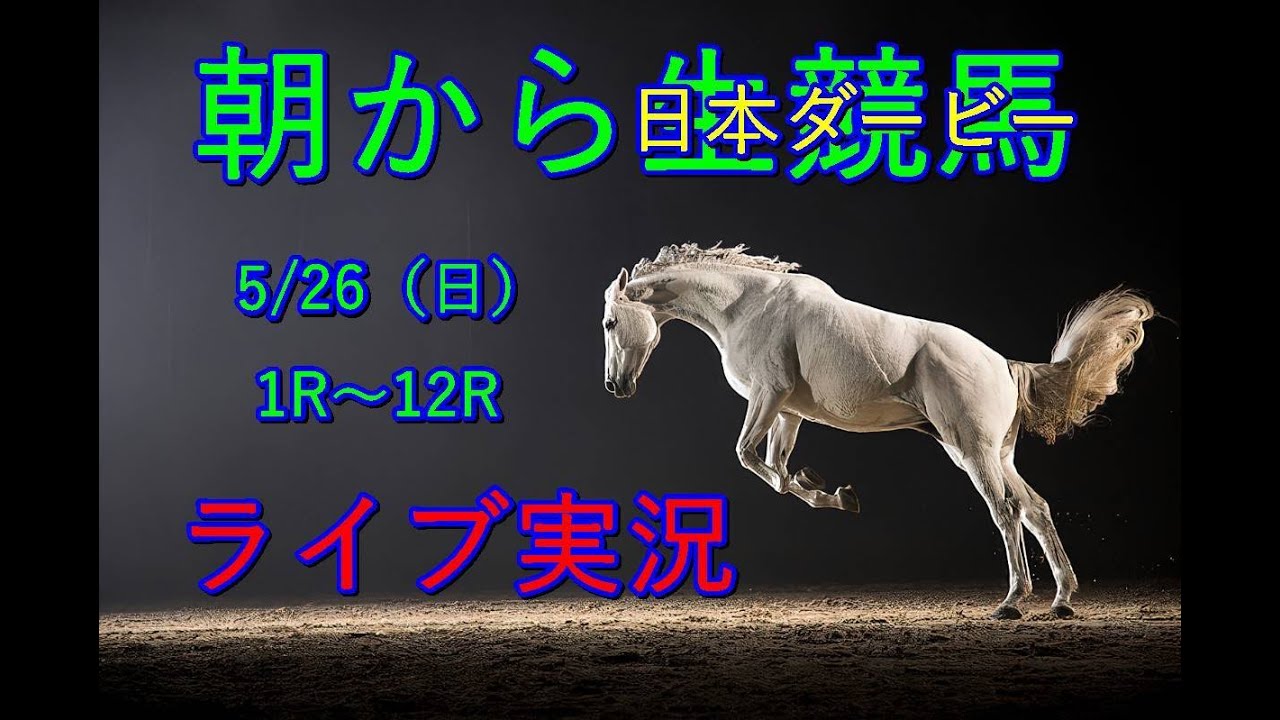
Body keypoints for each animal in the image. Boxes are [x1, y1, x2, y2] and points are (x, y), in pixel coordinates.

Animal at [601, 243, 1155, 620]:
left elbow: (748, 457)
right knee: (1035, 508)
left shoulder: (768, 396)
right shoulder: (788, 412)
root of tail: (1004, 364)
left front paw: (827, 490)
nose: (614, 386)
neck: (749, 306)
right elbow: (776, 470)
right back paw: (1062, 599)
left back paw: (1013, 602)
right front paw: (833, 492)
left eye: (609, 323)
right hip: (991, 454)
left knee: (1006, 510)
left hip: (974, 452)